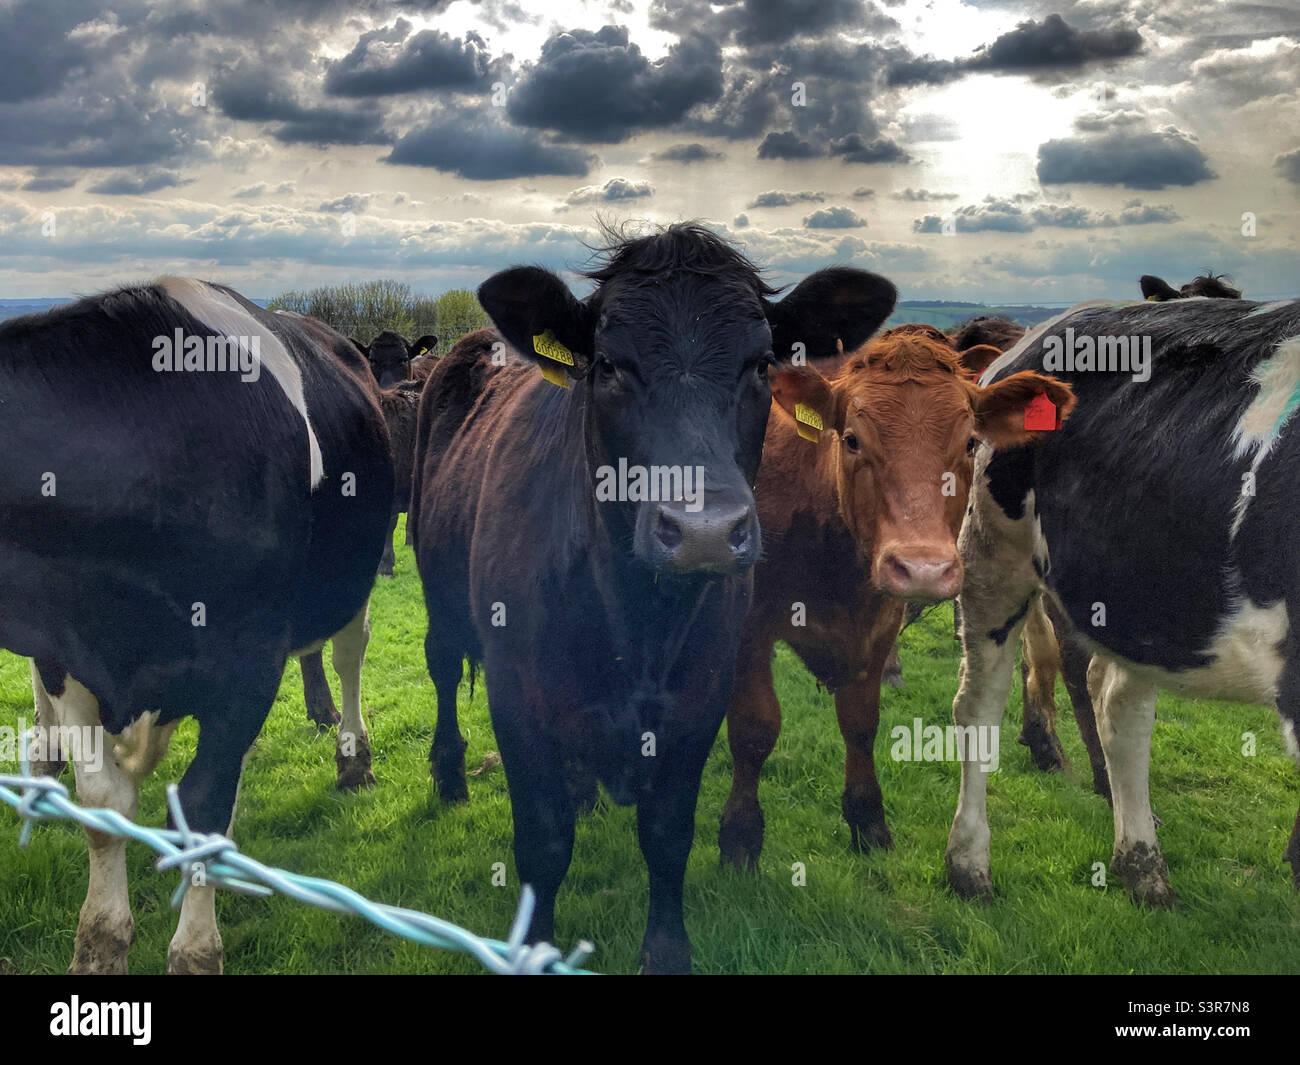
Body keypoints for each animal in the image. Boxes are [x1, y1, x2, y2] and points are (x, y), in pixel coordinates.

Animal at [2, 278, 392, 972]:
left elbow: (205, 805)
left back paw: (354, 760)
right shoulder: (63, 653)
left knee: (349, 655)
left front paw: (195, 951)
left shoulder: (247, 660)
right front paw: (99, 943)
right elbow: (103, 804)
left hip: (355, 572)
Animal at [409, 223, 898, 973]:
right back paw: (449, 772)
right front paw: (538, 941)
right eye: (608, 366)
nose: (703, 530)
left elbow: (668, 833)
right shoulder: (516, 695)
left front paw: (667, 948)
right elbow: (542, 841)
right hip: (435, 587)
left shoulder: (701, 695)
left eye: (761, 365)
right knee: (440, 668)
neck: (635, 621)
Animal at [718, 326, 1074, 867]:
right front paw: (740, 837)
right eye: (851, 440)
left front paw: (868, 822)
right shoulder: (749, 627)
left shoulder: (880, 623)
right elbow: (754, 728)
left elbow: (861, 722)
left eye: (971, 442)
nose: (924, 568)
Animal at [946, 295, 1300, 905]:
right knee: (978, 704)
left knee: (1121, 711)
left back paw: (1142, 867)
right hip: (993, 556)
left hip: (1143, 598)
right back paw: (969, 866)